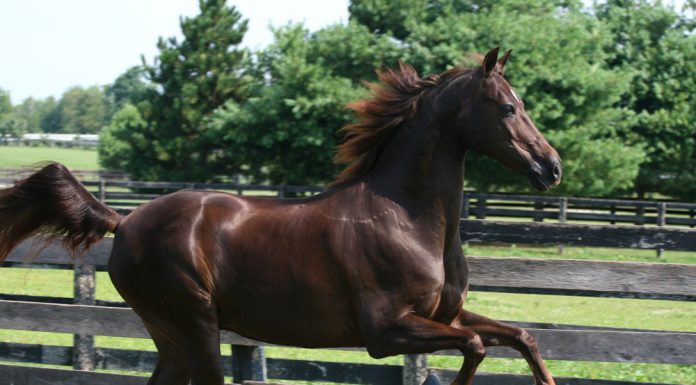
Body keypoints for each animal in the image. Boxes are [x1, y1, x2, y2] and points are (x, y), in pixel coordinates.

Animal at [0, 48, 560, 384]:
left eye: (521, 103)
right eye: (508, 108)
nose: (551, 167)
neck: (408, 221)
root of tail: (126, 221)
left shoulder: (445, 316)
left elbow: (522, 337)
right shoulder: (387, 330)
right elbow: (476, 347)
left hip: (171, 334)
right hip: (195, 323)